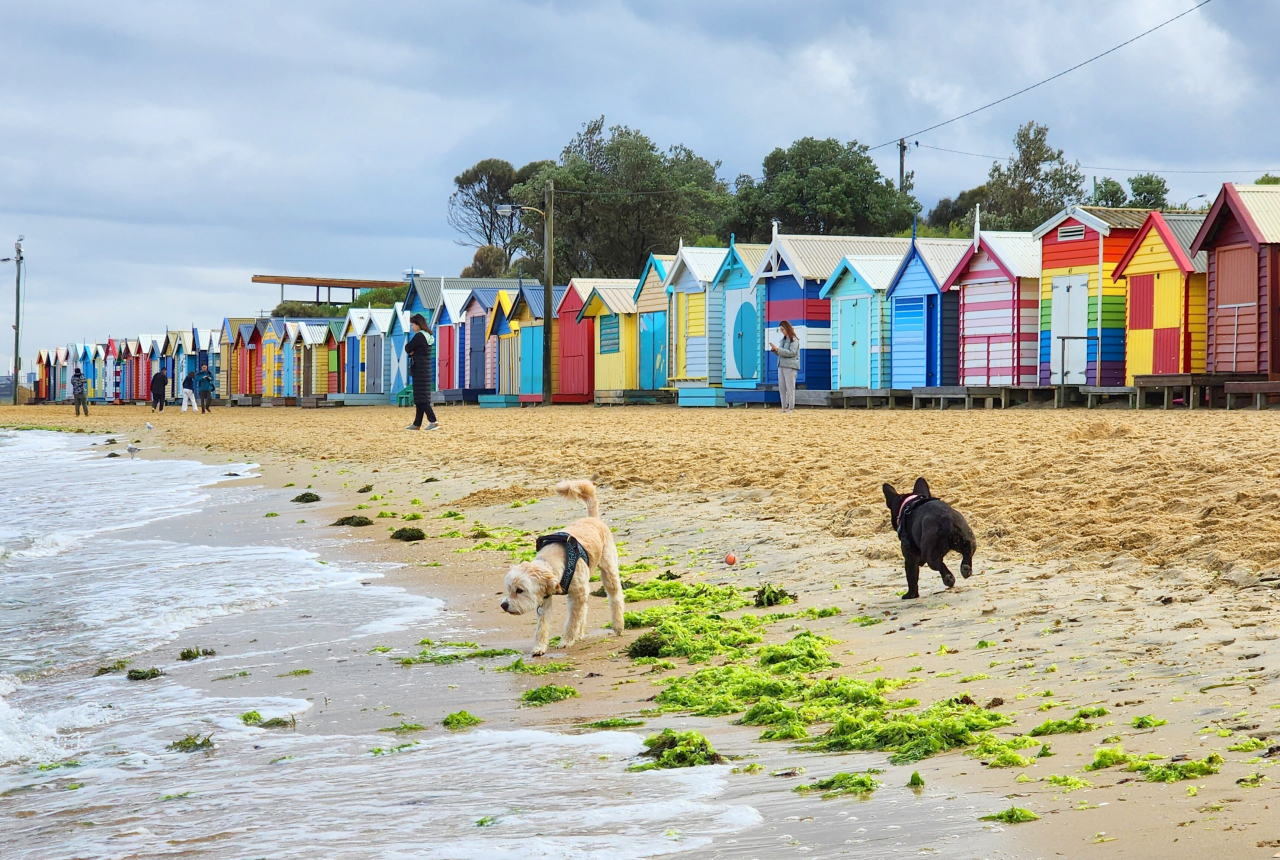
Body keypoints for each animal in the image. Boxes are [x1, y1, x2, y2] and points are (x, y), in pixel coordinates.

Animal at [496, 481, 622, 655]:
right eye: (508, 589)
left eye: (519, 590)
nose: (504, 605)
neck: (550, 563)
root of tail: (593, 518)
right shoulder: (544, 599)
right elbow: (542, 625)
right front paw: (540, 647)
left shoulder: (577, 594)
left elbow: (572, 621)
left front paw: (567, 640)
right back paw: (580, 634)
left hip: (608, 570)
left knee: (615, 597)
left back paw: (618, 626)